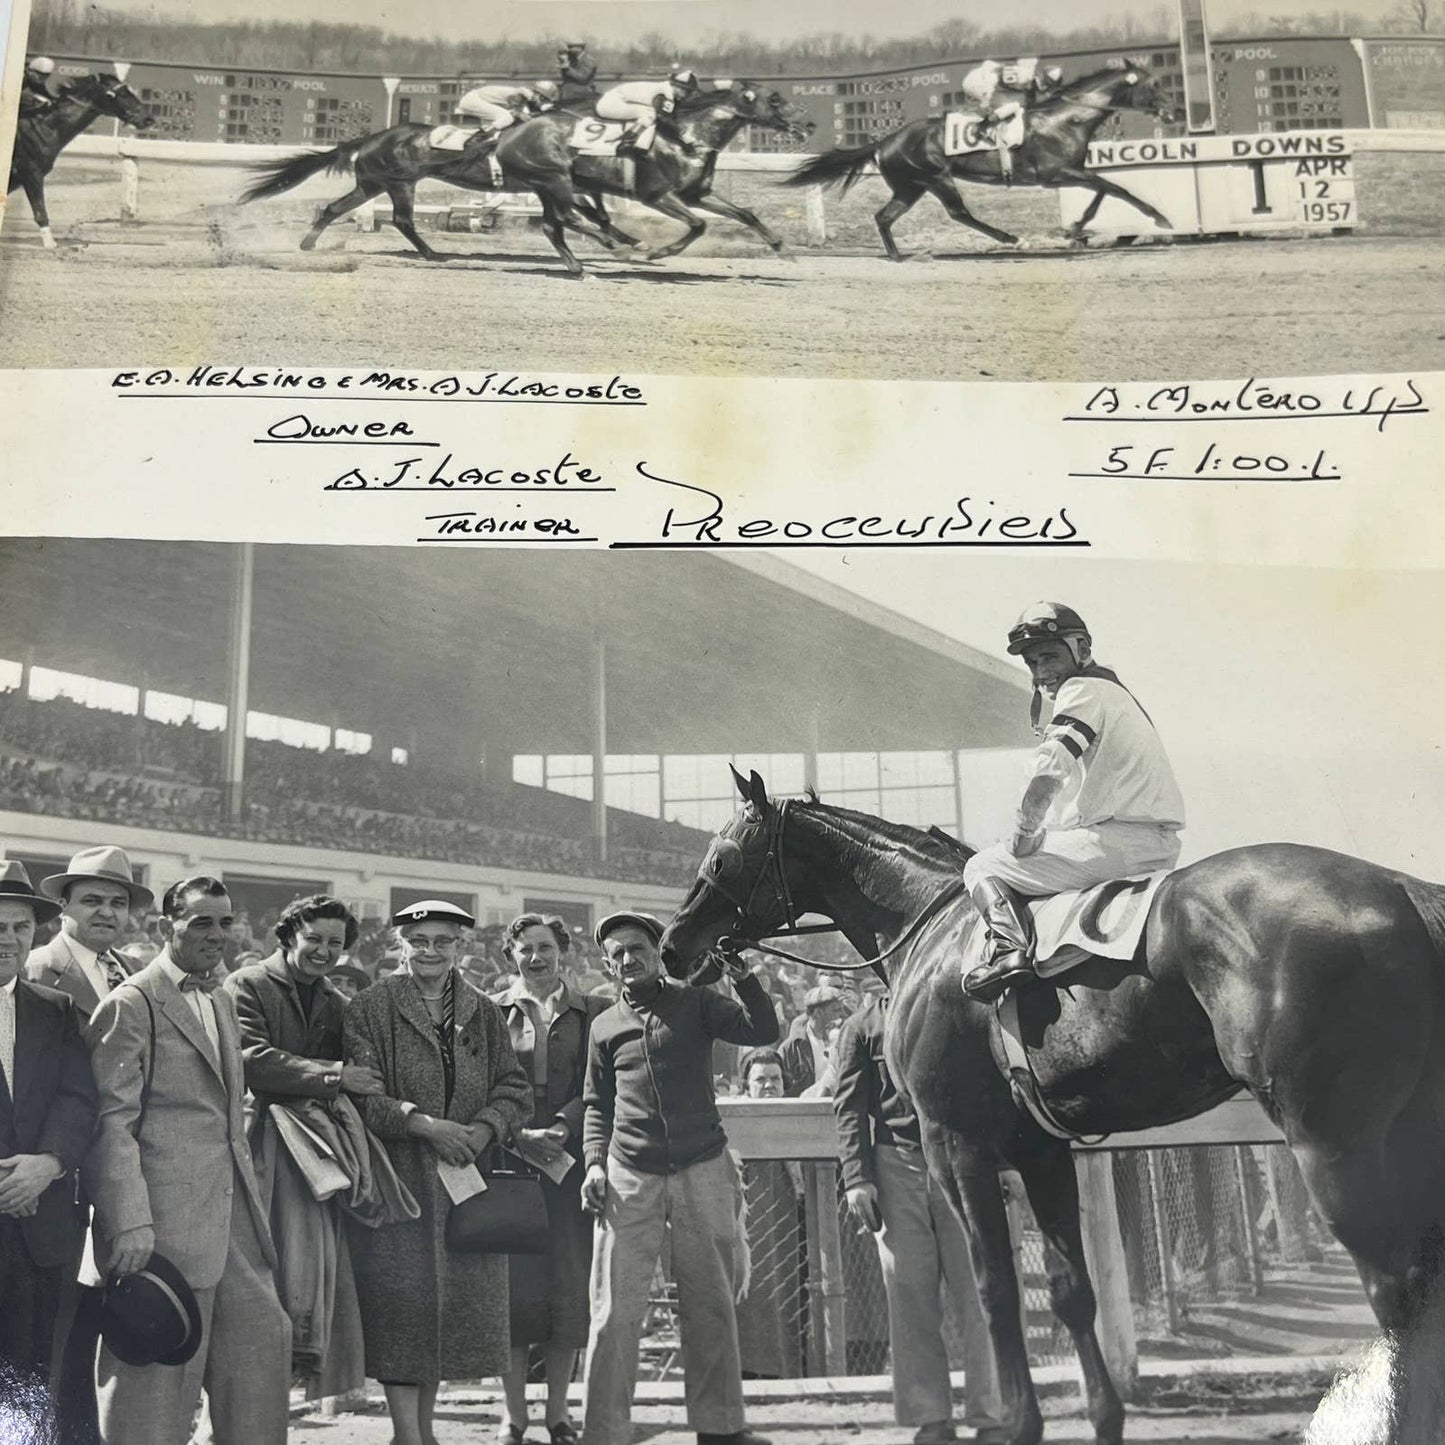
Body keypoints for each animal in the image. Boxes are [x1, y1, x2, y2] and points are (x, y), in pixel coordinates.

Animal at [7, 72, 151, 249]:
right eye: (122, 93)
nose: (148, 118)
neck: (43, 127)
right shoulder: (31, 172)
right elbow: (40, 210)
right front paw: (51, 243)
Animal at [494, 82, 814, 275]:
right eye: (774, 99)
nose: (809, 123)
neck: (687, 138)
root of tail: (509, 134)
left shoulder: (696, 194)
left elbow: (746, 214)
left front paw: (783, 249)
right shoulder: (656, 195)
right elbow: (699, 224)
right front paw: (661, 252)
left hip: (549, 186)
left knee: (553, 225)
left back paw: (582, 269)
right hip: (555, 180)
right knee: (566, 219)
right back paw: (621, 247)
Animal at [661, 774, 1445, 1439]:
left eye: (723, 855)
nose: (672, 943)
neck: (930, 926)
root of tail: (1401, 889)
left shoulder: (956, 1143)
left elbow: (995, 1288)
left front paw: (1020, 1423)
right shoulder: (1040, 1148)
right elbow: (1070, 1289)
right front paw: (1103, 1417)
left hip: (1330, 1140)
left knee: (1394, 1291)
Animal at [786, 60, 1179, 261]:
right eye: (1154, 85)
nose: (1173, 111)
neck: (1068, 119)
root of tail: (885, 140)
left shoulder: (1073, 171)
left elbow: (1104, 190)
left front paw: (1077, 227)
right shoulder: (1056, 173)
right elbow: (1114, 187)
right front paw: (1161, 218)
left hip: (910, 186)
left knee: (884, 217)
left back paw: (898, 255)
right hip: (935, 178)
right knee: (958, 212)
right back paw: (1012, 239)